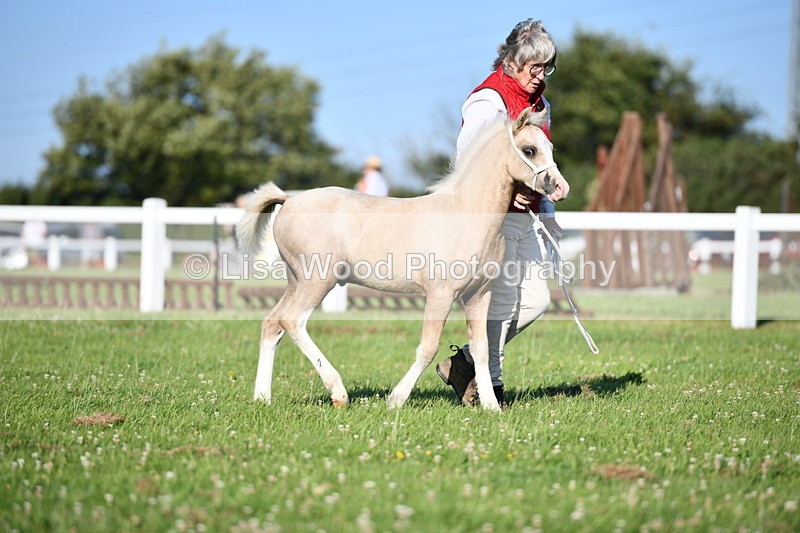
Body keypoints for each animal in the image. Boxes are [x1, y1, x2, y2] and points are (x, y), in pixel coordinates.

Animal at [236, 107, 569, 411]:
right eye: (529, 149)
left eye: (550, 147)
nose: (560, 188)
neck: (465, 215)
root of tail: (288, 199)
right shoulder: (440, 295)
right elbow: (428, 347)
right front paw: (396, 399)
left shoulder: (479, 294)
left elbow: (482, 348)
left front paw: (491, 407)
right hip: (316, 281)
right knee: (292, 320)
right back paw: (338, 393)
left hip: (296, 281)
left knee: (272, 324)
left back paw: (262, 398)